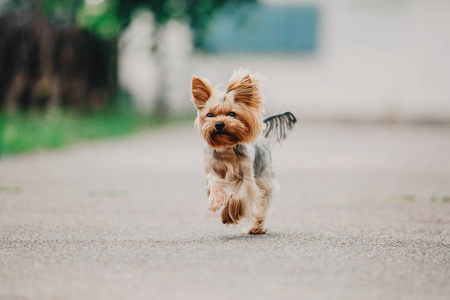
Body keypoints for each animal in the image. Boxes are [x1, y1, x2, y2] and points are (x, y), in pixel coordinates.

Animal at [190, 68, 296, 234]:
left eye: (232, 114)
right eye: (209, 115)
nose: (219, 124)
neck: (226, 146)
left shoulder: (246, 175)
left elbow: (240, 195)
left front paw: (228, 215)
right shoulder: (212, 169)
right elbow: (215, 183)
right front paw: (215, 200)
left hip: (264, 178)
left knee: (263, 203)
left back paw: (256, 227)